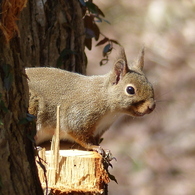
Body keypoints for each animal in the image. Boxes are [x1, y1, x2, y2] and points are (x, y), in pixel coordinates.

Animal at [25, 47, 155, 151]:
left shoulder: (99, 129)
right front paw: (95, 147)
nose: (152, 107)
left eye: (151, 86)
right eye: (130, 90)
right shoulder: (79, 116)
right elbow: (80, 135)